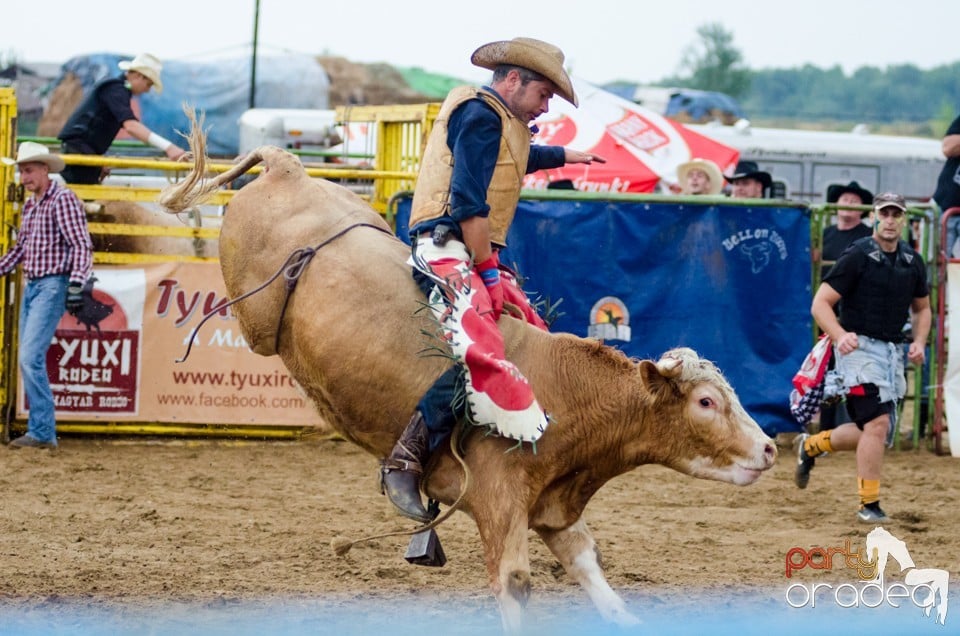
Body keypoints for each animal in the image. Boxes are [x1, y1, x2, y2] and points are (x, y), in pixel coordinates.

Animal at [156, 118, 772, 632]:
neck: (564, 395)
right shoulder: (500, 501)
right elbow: (515, 586)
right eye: (706, 403)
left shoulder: (554, 511)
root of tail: (290, 167)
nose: (767, 448)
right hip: (257, 321)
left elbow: (592, 570)